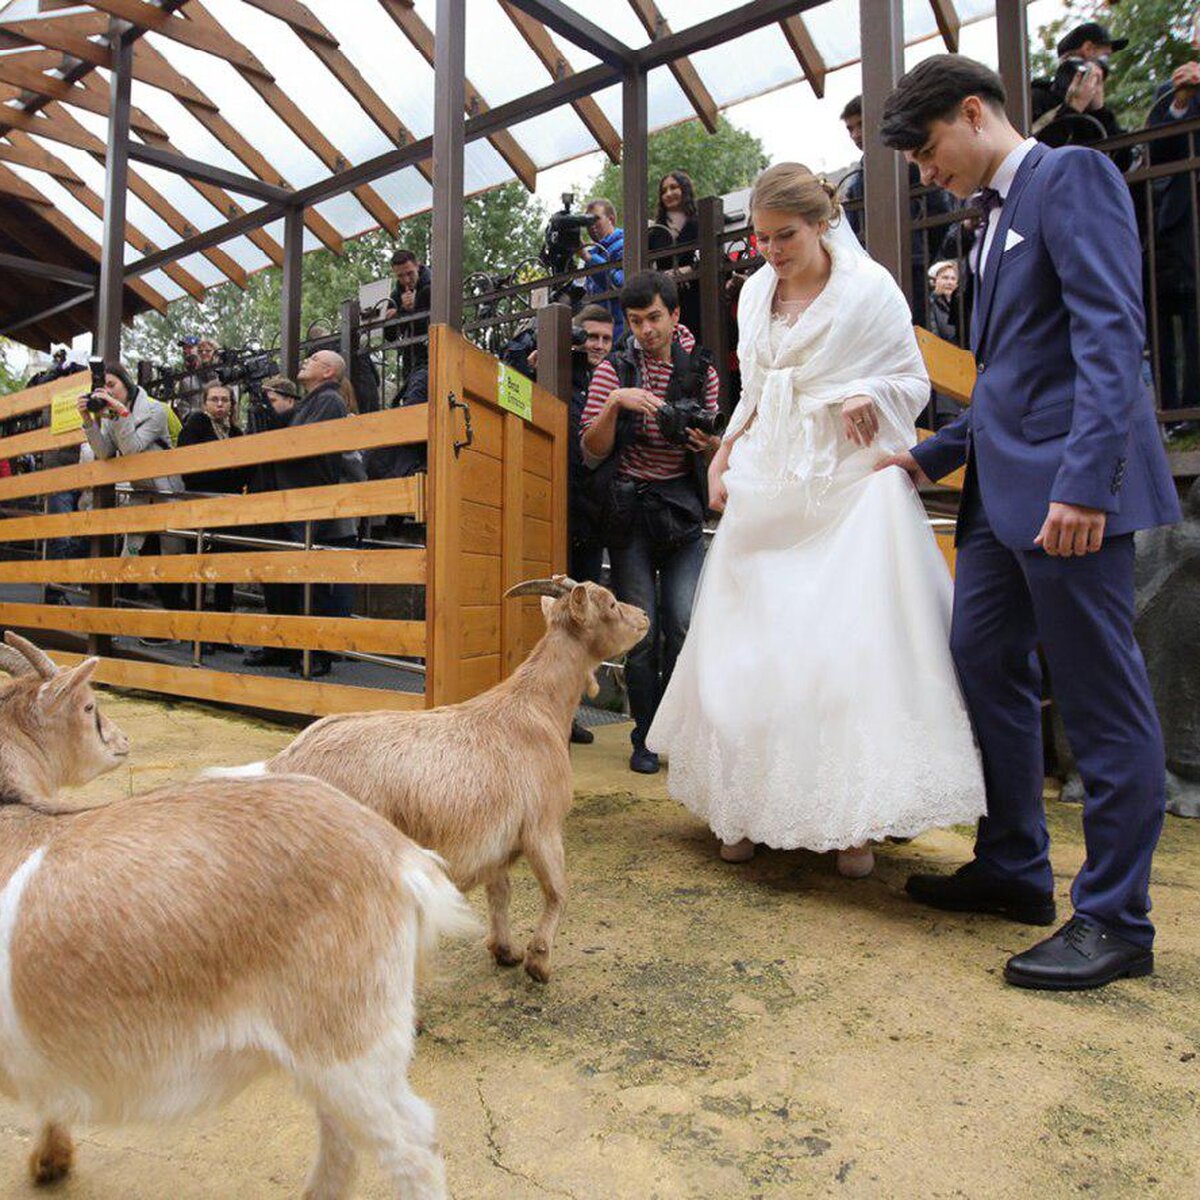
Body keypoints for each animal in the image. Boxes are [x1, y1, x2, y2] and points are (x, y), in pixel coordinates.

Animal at [0, 633, 475, 1195]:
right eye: (90, 707)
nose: (122, 742)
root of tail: (402, 858)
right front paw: (52, 1157)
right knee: (341, 1134)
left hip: (348, 1036)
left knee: (411, 1146)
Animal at [212, 578, 652, 984]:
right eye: (612, 604)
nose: (645, 617)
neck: (537, 711)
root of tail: (283, 763)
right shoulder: (542, 827)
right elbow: (558, 891)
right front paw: (539, 963)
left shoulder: (497, 842)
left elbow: (501, 894)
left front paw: (506, 952)